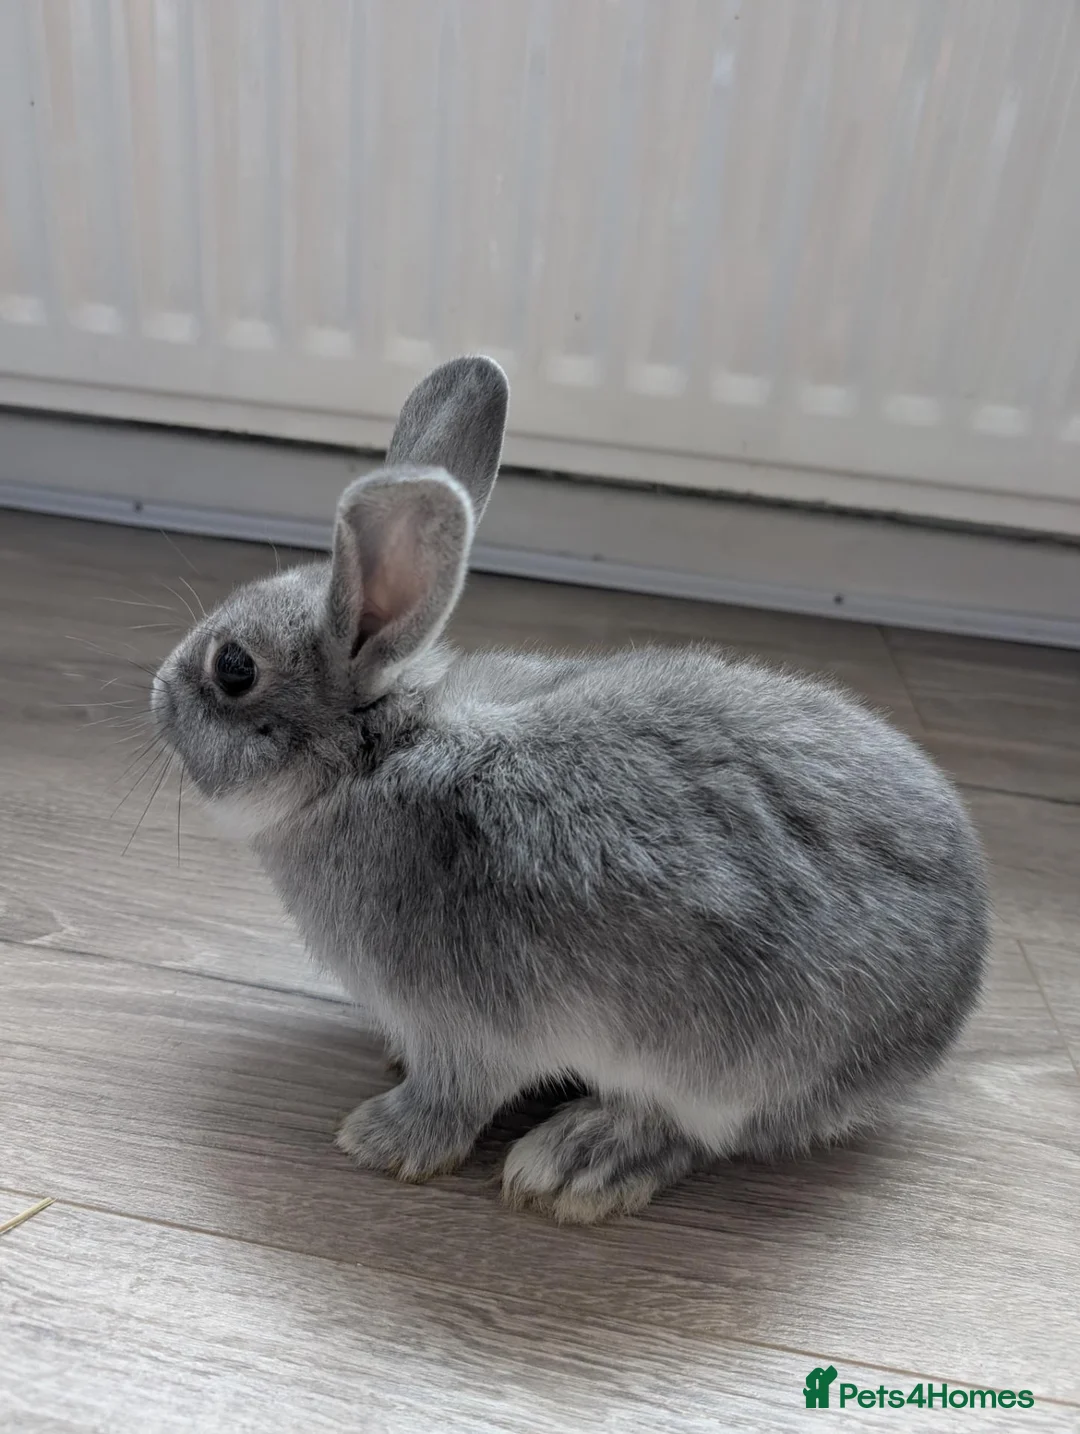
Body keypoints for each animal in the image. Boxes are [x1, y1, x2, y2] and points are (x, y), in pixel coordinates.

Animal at [151, 355, 989, 1224]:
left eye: (234, 668)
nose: (157, 692)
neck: (375, 759)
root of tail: (948, 1010)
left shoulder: (461, 1027)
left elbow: (453, 1095)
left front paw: (380, 1138)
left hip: (726, 1063)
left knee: (696, 1131)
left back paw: (575, 1163)